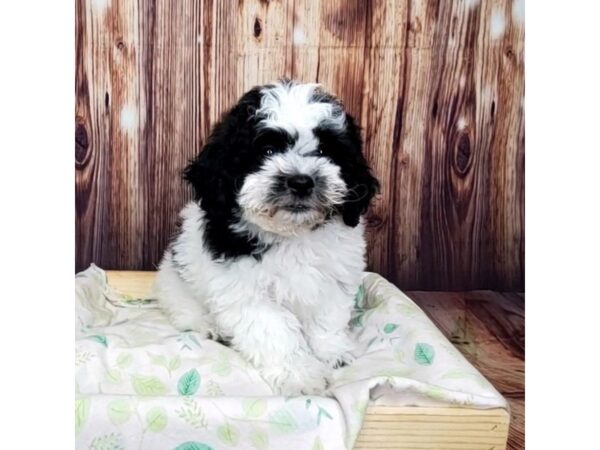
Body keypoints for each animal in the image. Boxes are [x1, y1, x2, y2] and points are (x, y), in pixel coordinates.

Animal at [156, 81, 380, 394]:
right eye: (268, 150)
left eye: (324, 150)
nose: (301, 181)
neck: (291, 235)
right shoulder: (247, 292)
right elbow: (277, 331)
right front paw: (300, 375)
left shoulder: (332, 277)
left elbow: (327, 316)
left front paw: (333, 351)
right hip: (175, 280)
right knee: (183, 307)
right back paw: (208, 325)